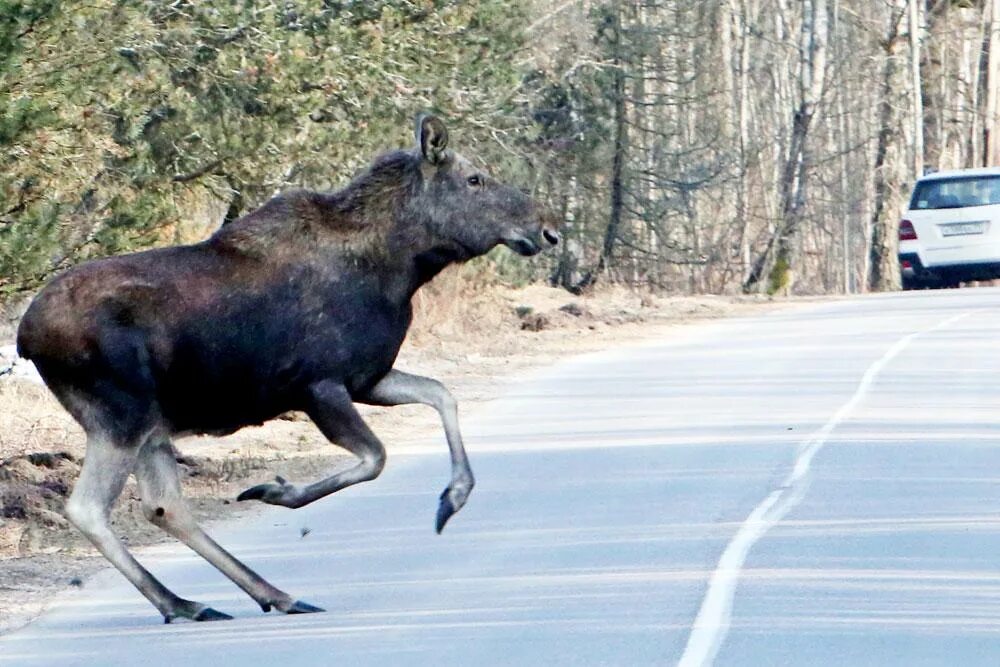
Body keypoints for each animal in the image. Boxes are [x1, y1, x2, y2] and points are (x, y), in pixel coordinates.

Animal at [15, 116, 560, 628]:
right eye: (474, 178)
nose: (548, 230)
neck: (403, 269)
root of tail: (25, 337)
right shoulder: (320, 385)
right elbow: (376, 457)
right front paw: (278, 491)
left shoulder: (369, 378)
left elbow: (442, 393)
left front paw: (452, 498)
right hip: (122, 414)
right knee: (90, 507)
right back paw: (186, 601)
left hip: (150, 421)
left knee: (164, 505)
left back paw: (251, 597)